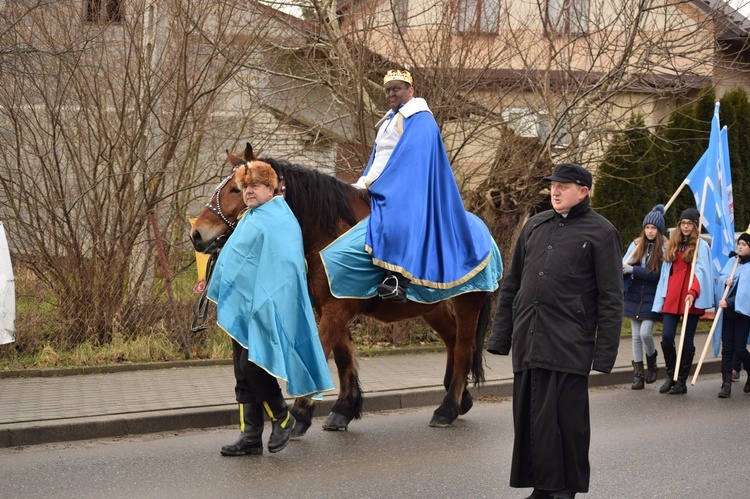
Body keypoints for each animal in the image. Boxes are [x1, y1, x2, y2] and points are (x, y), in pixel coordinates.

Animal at [191, 143, 496, 436]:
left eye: (237, 189)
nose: (197, 234)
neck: (329, 234)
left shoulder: (339, 307)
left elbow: (322, 349)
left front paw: (301, 413)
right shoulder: (328, 305)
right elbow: (342, 356)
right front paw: (342, 410)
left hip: (468, 302)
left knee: (464, 348)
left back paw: (447, 409)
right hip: (433, 306)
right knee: (453, 341)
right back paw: (460, 399)